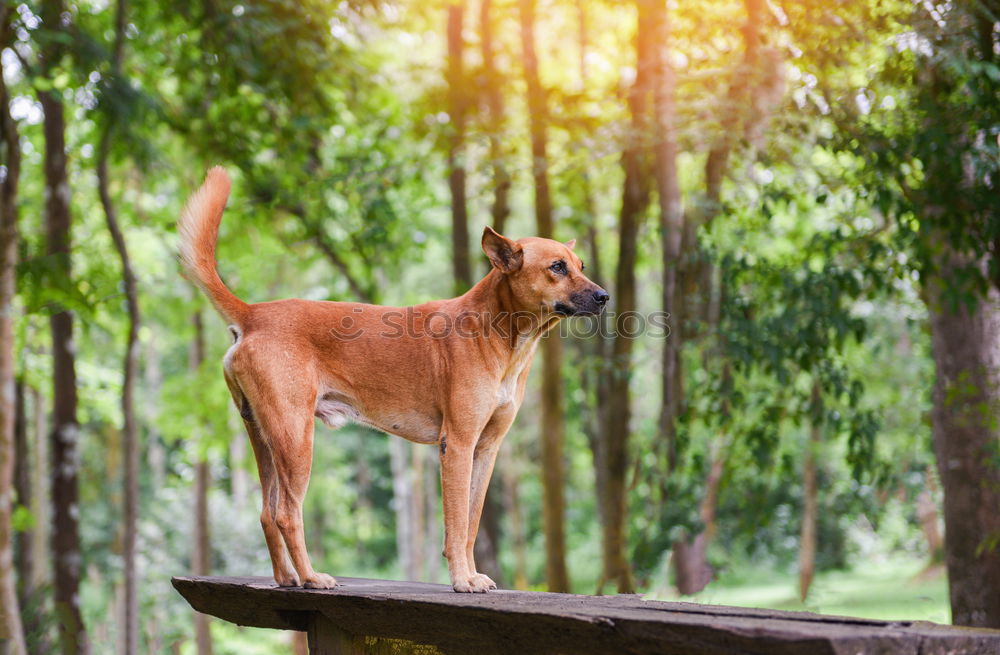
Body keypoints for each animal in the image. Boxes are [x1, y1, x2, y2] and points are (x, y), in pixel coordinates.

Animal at [178, 169, 608, 596]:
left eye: (581, 264)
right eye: (557, 267)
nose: (605, 296)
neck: (501, 334)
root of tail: (253, 314)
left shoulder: (486, 448)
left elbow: (470, 524)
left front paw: (472, 575)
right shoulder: (457, 444)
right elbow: (456, 525)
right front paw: (461, 579)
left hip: (264, 436)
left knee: (267, 514)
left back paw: (288, 579)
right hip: (295, 438)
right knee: (286, 513)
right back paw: (313, 577)